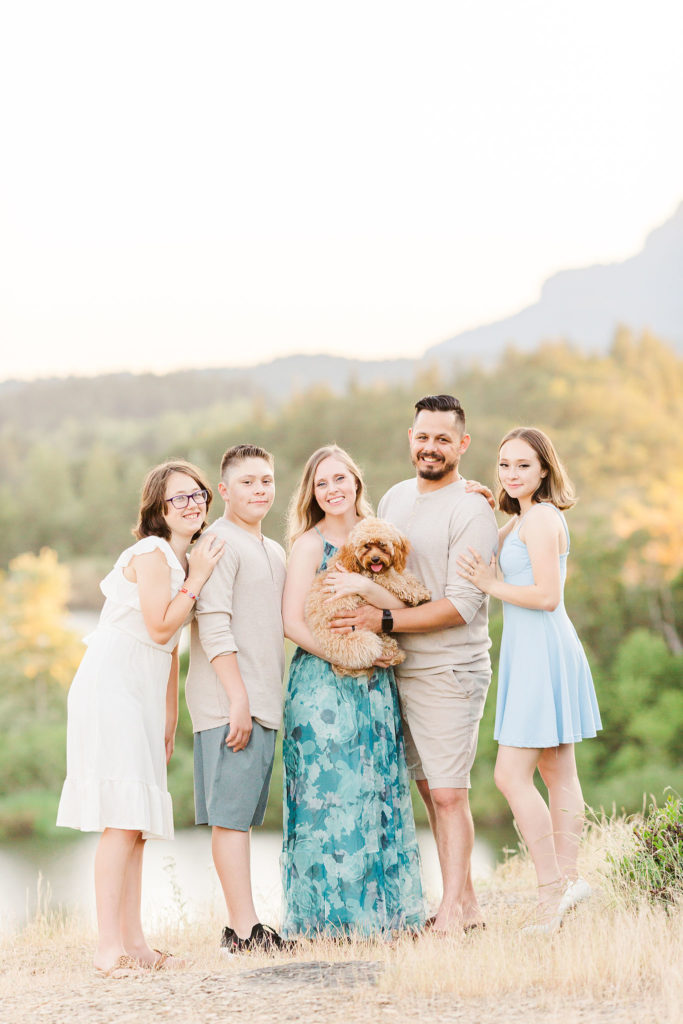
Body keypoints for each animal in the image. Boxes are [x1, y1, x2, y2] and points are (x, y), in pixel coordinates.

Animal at [305, 516, 430, 675]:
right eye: (366, 546)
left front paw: (419, 588)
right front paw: (418, 593)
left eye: (382, 544)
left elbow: (405, 576)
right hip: (361, 635)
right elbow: (397, 581)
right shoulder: (376, 577)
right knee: (381, 647)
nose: (375, 559)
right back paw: (395, 654)